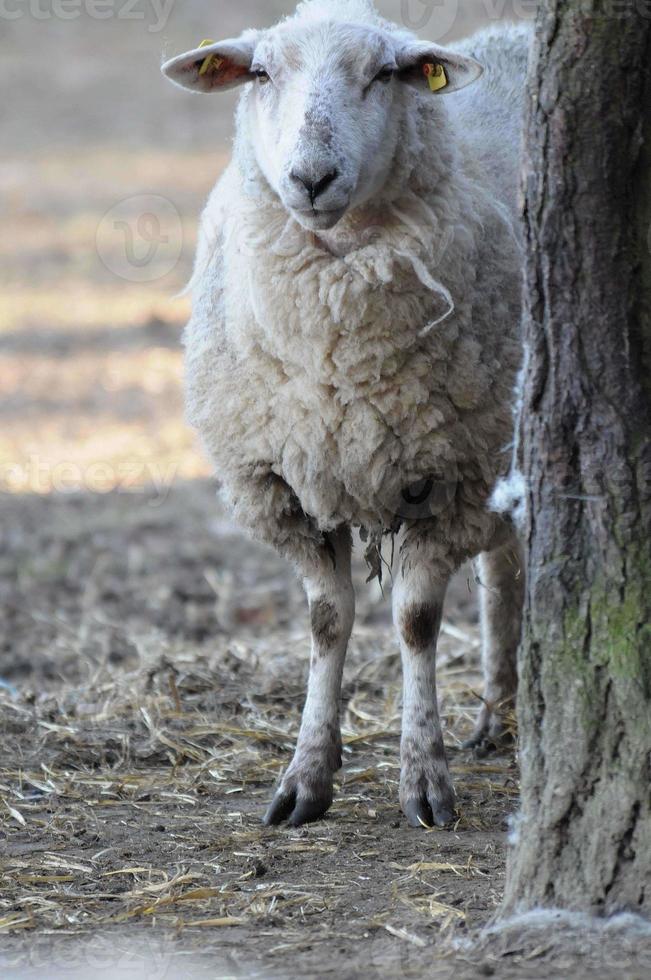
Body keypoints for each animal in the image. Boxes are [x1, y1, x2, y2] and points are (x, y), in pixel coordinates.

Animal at [163, 0, 528, 832]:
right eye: (262, 73)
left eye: (384, 74)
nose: (311, 178)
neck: (338, 366)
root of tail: (522, 32)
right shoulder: (284, 485)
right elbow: (328, 623)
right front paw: (306, 776)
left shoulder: (450, 476)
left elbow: (415, 620)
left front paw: (422, 778)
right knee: (505, 569)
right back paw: (496, 718)